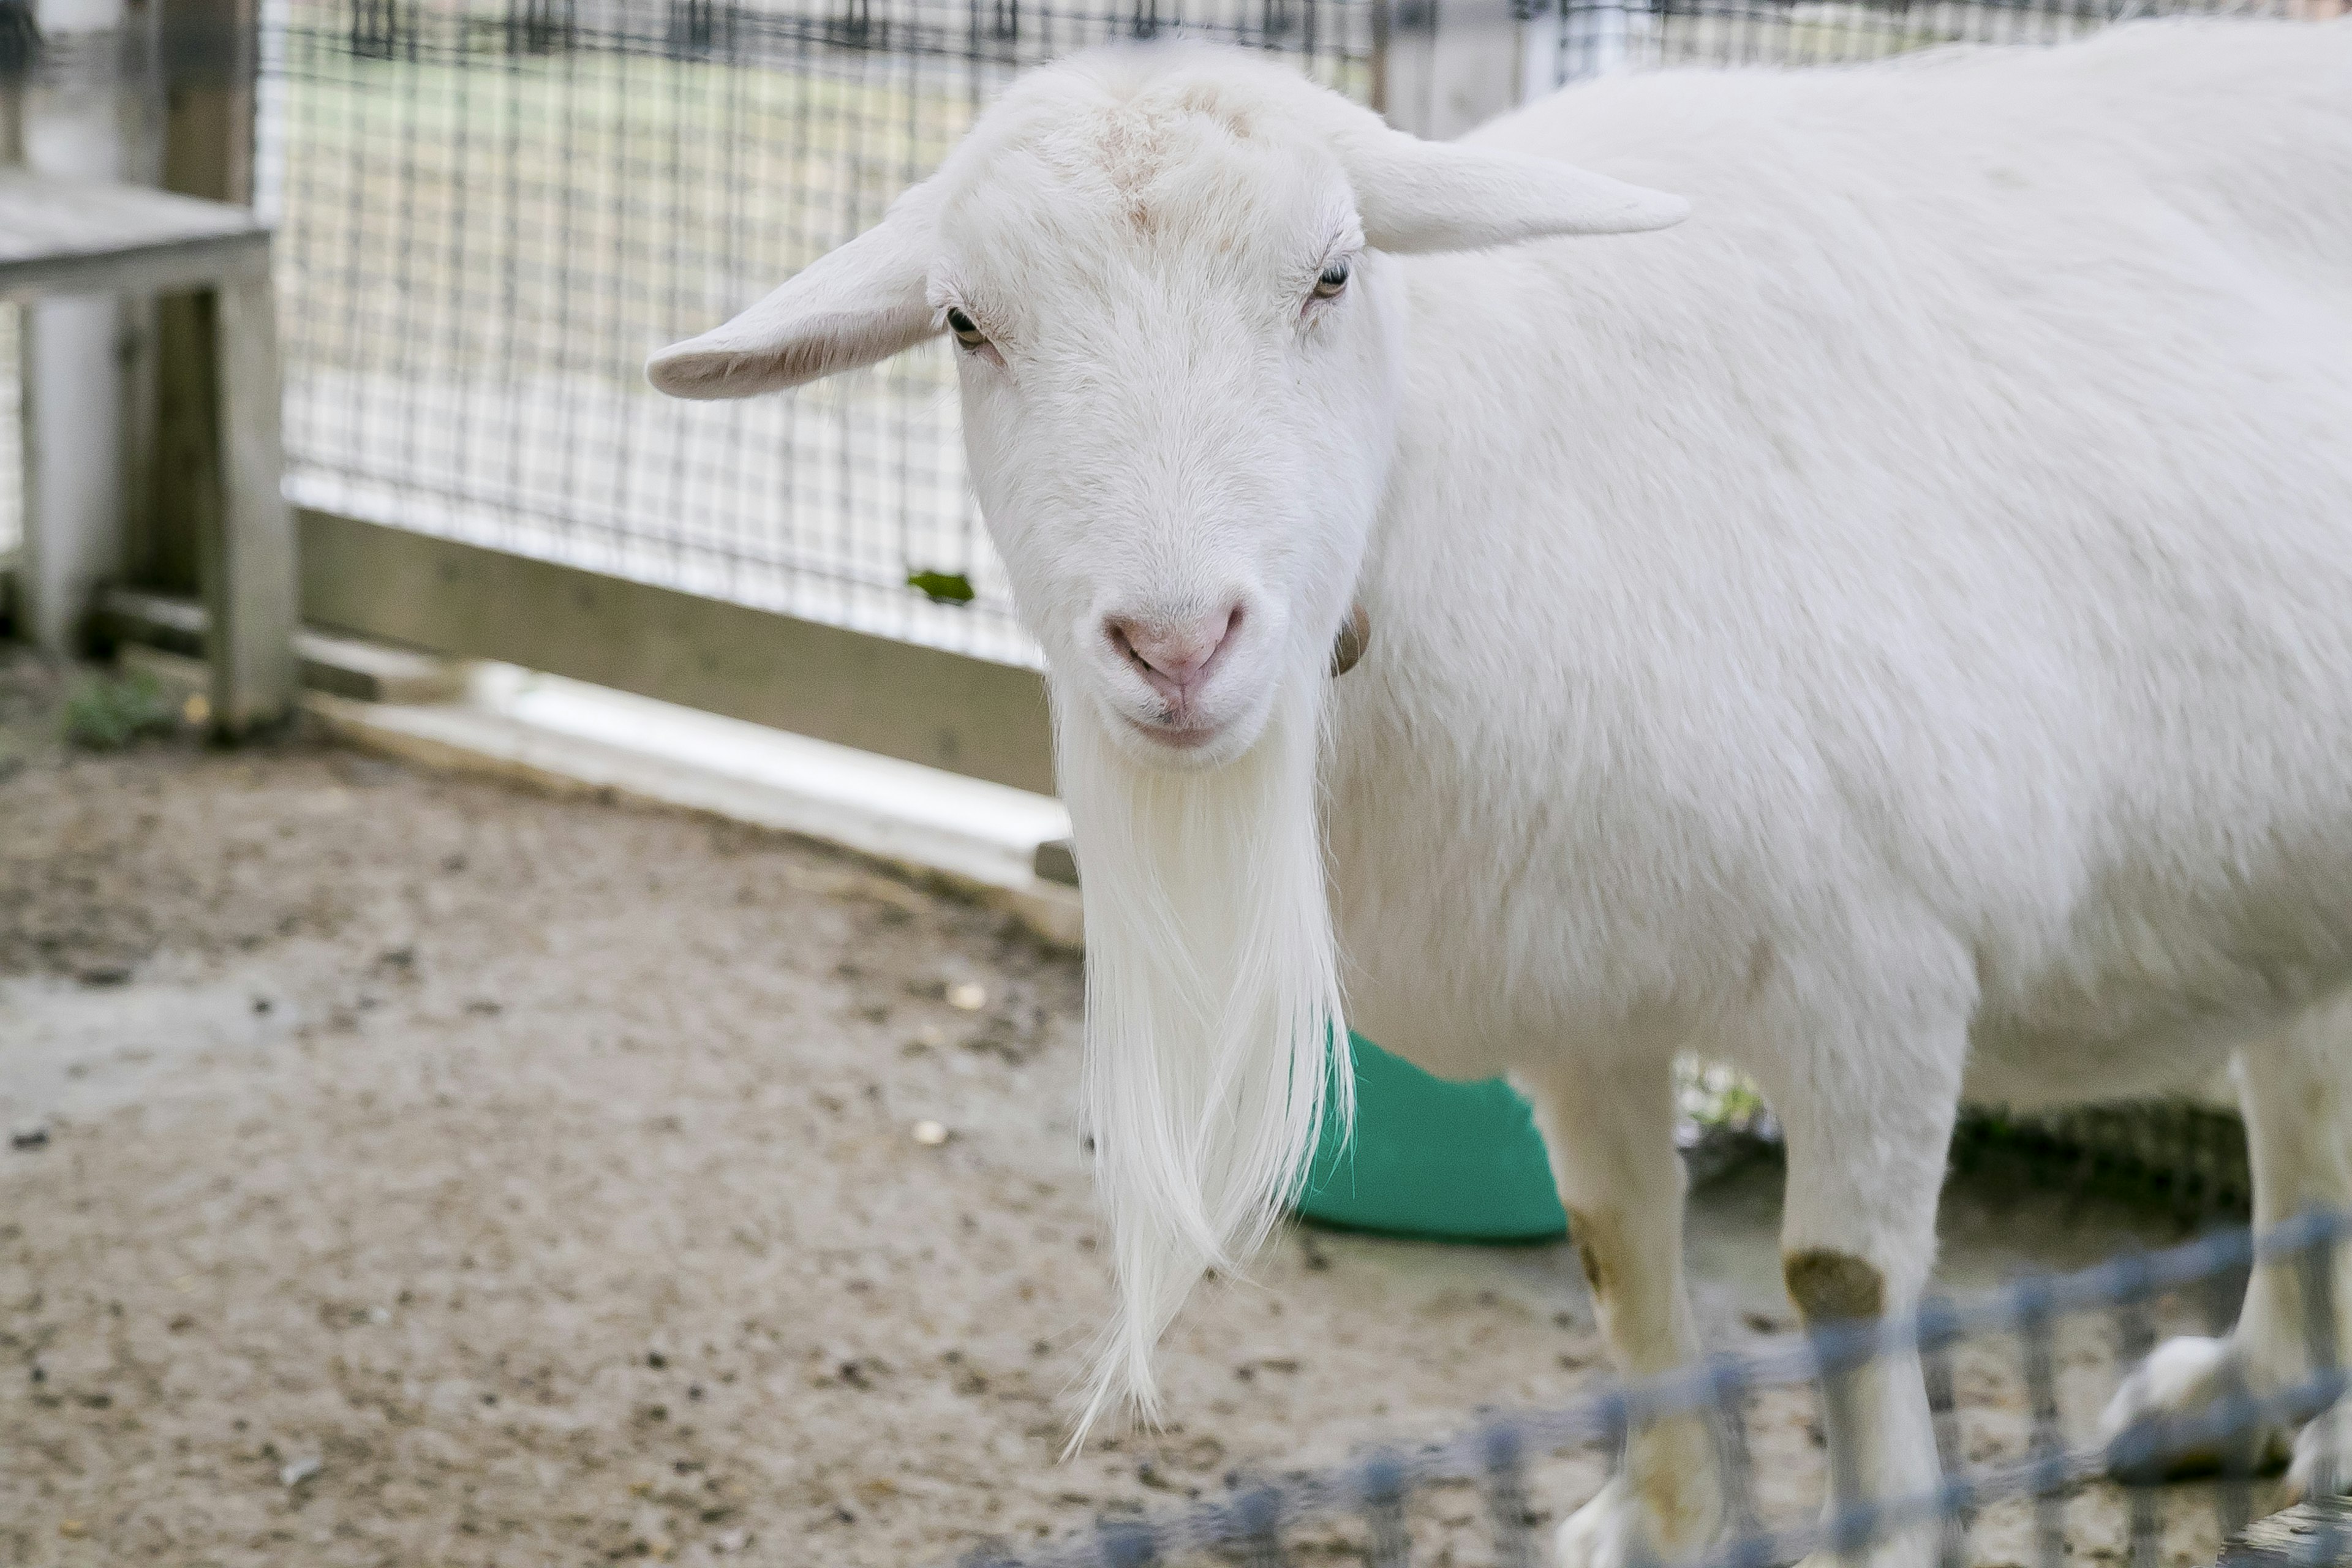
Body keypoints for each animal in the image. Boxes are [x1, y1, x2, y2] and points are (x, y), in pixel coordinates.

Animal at [654, 28, 2352, 1568]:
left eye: (1334, 276)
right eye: (963, 322)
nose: (1179, 643)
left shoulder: (1878, 971)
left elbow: (1838, 1284)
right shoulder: (1584, 1005)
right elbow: (1620, 1254)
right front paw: (1654, 1523)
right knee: (2300, 1093)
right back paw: (2249, 1391)